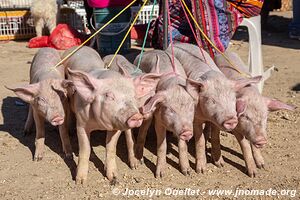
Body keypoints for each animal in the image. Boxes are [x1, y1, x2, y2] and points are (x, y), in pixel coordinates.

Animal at [62, 46, 144, 184]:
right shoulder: (82, 124)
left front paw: (115, 179)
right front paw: (80, 181)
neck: (99, 125)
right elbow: (85, 149)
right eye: (109, 96)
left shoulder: (117, 126)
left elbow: (110, 148)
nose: (136, 116)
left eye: (134, 95)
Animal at [133, 49, 196, 177]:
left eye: (191, 108)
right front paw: (160, 175)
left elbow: (183, 146)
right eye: (170, 110)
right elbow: (162, 145)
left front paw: (187, 172)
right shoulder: (158, 119)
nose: (187, 132)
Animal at [165, 42, 262, 173]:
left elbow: (216, 137)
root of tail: (176, 43)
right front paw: (201, 170)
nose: (231, 120)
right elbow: (200, 141)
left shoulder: (216, 121)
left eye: (233, 99)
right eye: (212, 101)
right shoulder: (196, 119)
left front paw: (220, 164)